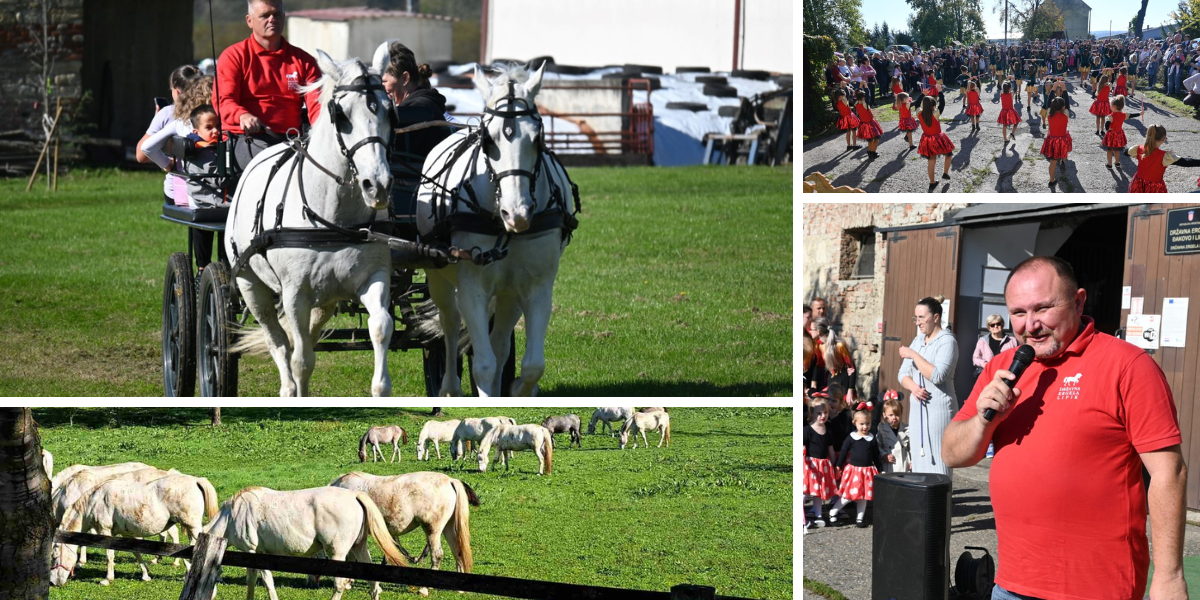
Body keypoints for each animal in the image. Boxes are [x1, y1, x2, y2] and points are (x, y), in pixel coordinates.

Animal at [50, 472, 220, 585]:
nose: (52, 582)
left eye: (54, 557)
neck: (94, 500)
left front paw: (107, 579)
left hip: (192, 526)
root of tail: (195, 480)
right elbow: (136, 553)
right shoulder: (127, 534)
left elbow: (109, 555)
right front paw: (146, 575)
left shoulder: (105, 531)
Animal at [205, 484, 408, 600]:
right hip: (360, 547)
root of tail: (354, 495)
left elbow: (266, 581)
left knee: (339, 584)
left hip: (337, 553)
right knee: (373, 583)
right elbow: (252, 581)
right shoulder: (257, 554)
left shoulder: (253, 551)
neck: (231, 515)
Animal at [229, 51, 403, 396]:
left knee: (306, 337)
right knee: (278, 341)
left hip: (327, 297)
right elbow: (300, 359)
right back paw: (287, 389)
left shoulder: (374, 276)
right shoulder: (295, 293)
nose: (378, 186)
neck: (333, 219)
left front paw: (380, 388)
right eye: (341, 115)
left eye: (390, 111)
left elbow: (380, 326)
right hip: (249, 284)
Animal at [328, 472, 477, 595]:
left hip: (432, 531)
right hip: (449, 529)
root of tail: (450, 480)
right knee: (457, 552)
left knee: (437, 555)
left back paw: (424, 589)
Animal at [415, 63, 578, 396]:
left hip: (507, 293)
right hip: (438, 276)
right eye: (488, 140)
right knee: (450, 325)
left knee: (499, 343)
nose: (517, 213)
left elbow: (531, 365)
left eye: (538, 139)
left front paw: (519, 392)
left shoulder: (537, 287)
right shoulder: (472, 288)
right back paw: (448, 388)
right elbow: (484, 365)